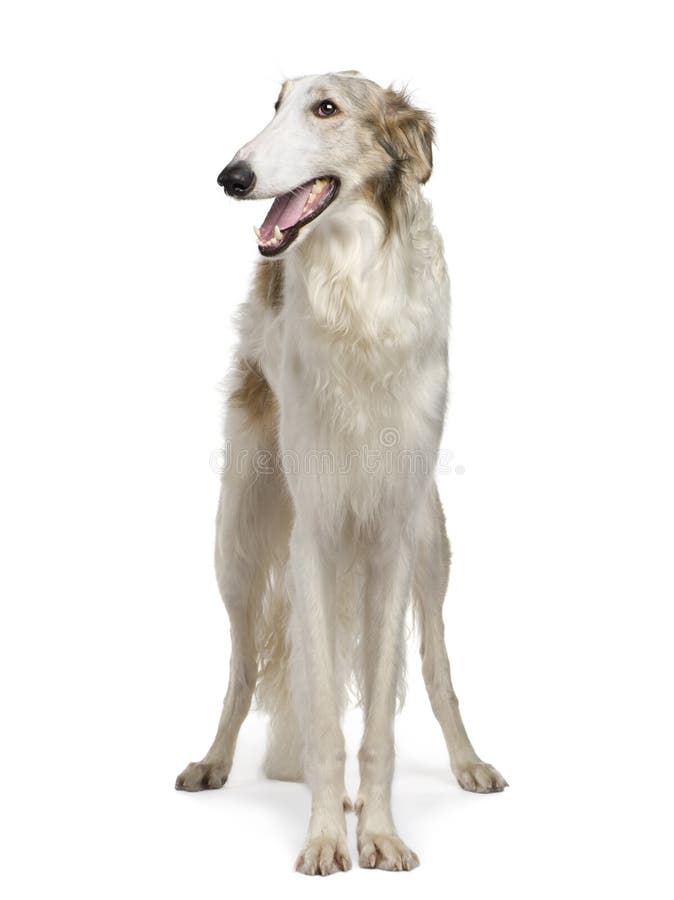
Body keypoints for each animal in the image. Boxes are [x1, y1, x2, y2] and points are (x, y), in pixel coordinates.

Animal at [175, 72, 504, 880]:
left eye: (326, 108)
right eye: (274, 105)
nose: (232, 177)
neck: (356, 295)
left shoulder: (390, 538)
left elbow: (380, 723)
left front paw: (378, 834)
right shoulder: (315, 538)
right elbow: (325, 720)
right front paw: (327, 838)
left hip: (433, 546)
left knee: (439, 667)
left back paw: (468, 764)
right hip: (237, 543)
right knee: (241, 670)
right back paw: (213, 762)